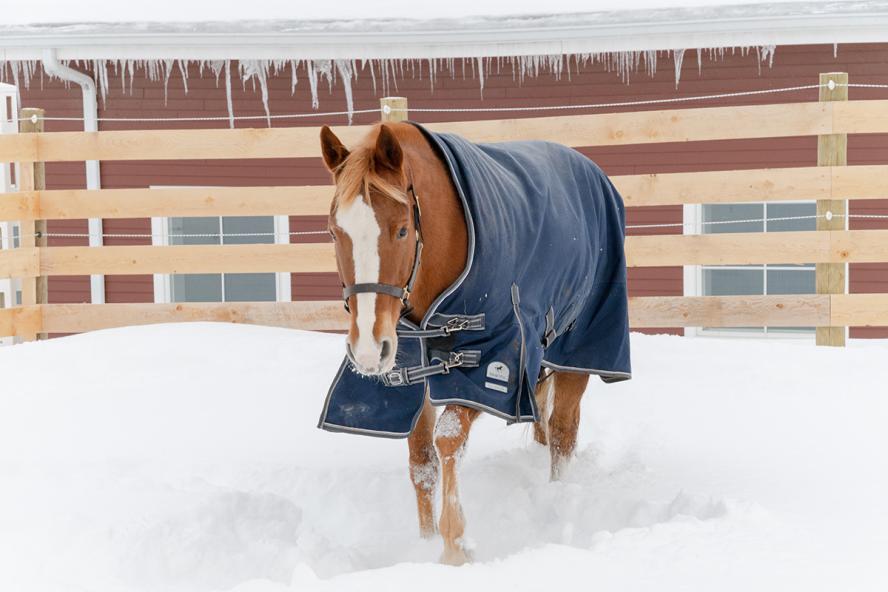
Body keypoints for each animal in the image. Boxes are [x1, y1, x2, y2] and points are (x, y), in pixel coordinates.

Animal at [319, 122, 629, 565]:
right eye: (334, 232)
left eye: (402, 229)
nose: (368, 352)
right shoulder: (412, 372)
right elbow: (421, 459)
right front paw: (425, 542)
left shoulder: (490, 365)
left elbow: (448, 439)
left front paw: (455, 547)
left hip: (579, 351)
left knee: (563, 433)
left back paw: (556, 504)